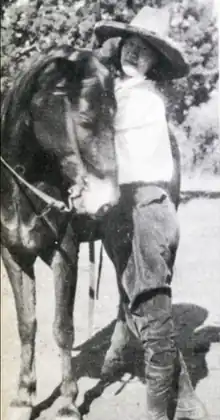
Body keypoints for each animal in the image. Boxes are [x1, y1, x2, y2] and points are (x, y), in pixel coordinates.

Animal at [0, 46, 119, 420]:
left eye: (115, 115)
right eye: (84, 119)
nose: (107, 201)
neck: (26, 189)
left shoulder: (63, 253)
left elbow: (62, 328)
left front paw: (67, 402)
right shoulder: (14, 256)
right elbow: (27, 324)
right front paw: (23, 397)